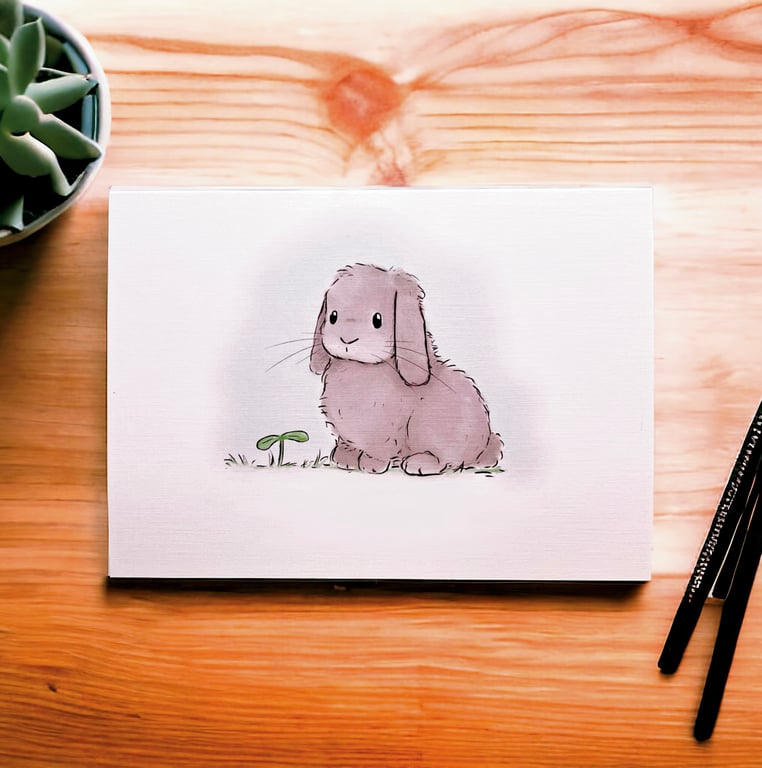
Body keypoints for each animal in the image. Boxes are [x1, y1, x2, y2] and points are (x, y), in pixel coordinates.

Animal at [309, 263, 503, 475]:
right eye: (333, 316)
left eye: (377, 320)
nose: (347, 339)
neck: (359, 365)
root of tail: (485, 445)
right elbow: (348, 443)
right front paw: (345, 459)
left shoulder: (387, 429)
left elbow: (380, 449)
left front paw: (371, 465)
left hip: (433, 428)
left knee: (447, 460)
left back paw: (419, 464)